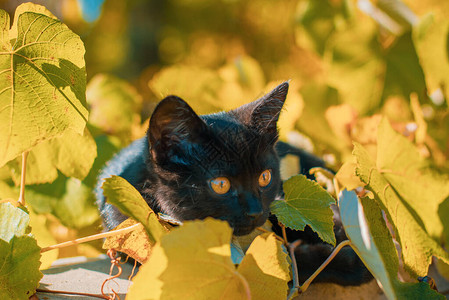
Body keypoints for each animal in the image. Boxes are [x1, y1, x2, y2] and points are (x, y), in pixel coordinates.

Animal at [96, 82, 372, 286]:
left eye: (264, 177)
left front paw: (348, 236)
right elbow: (277, 266)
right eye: (221, 184)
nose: (255, 211)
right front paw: (347, 259)